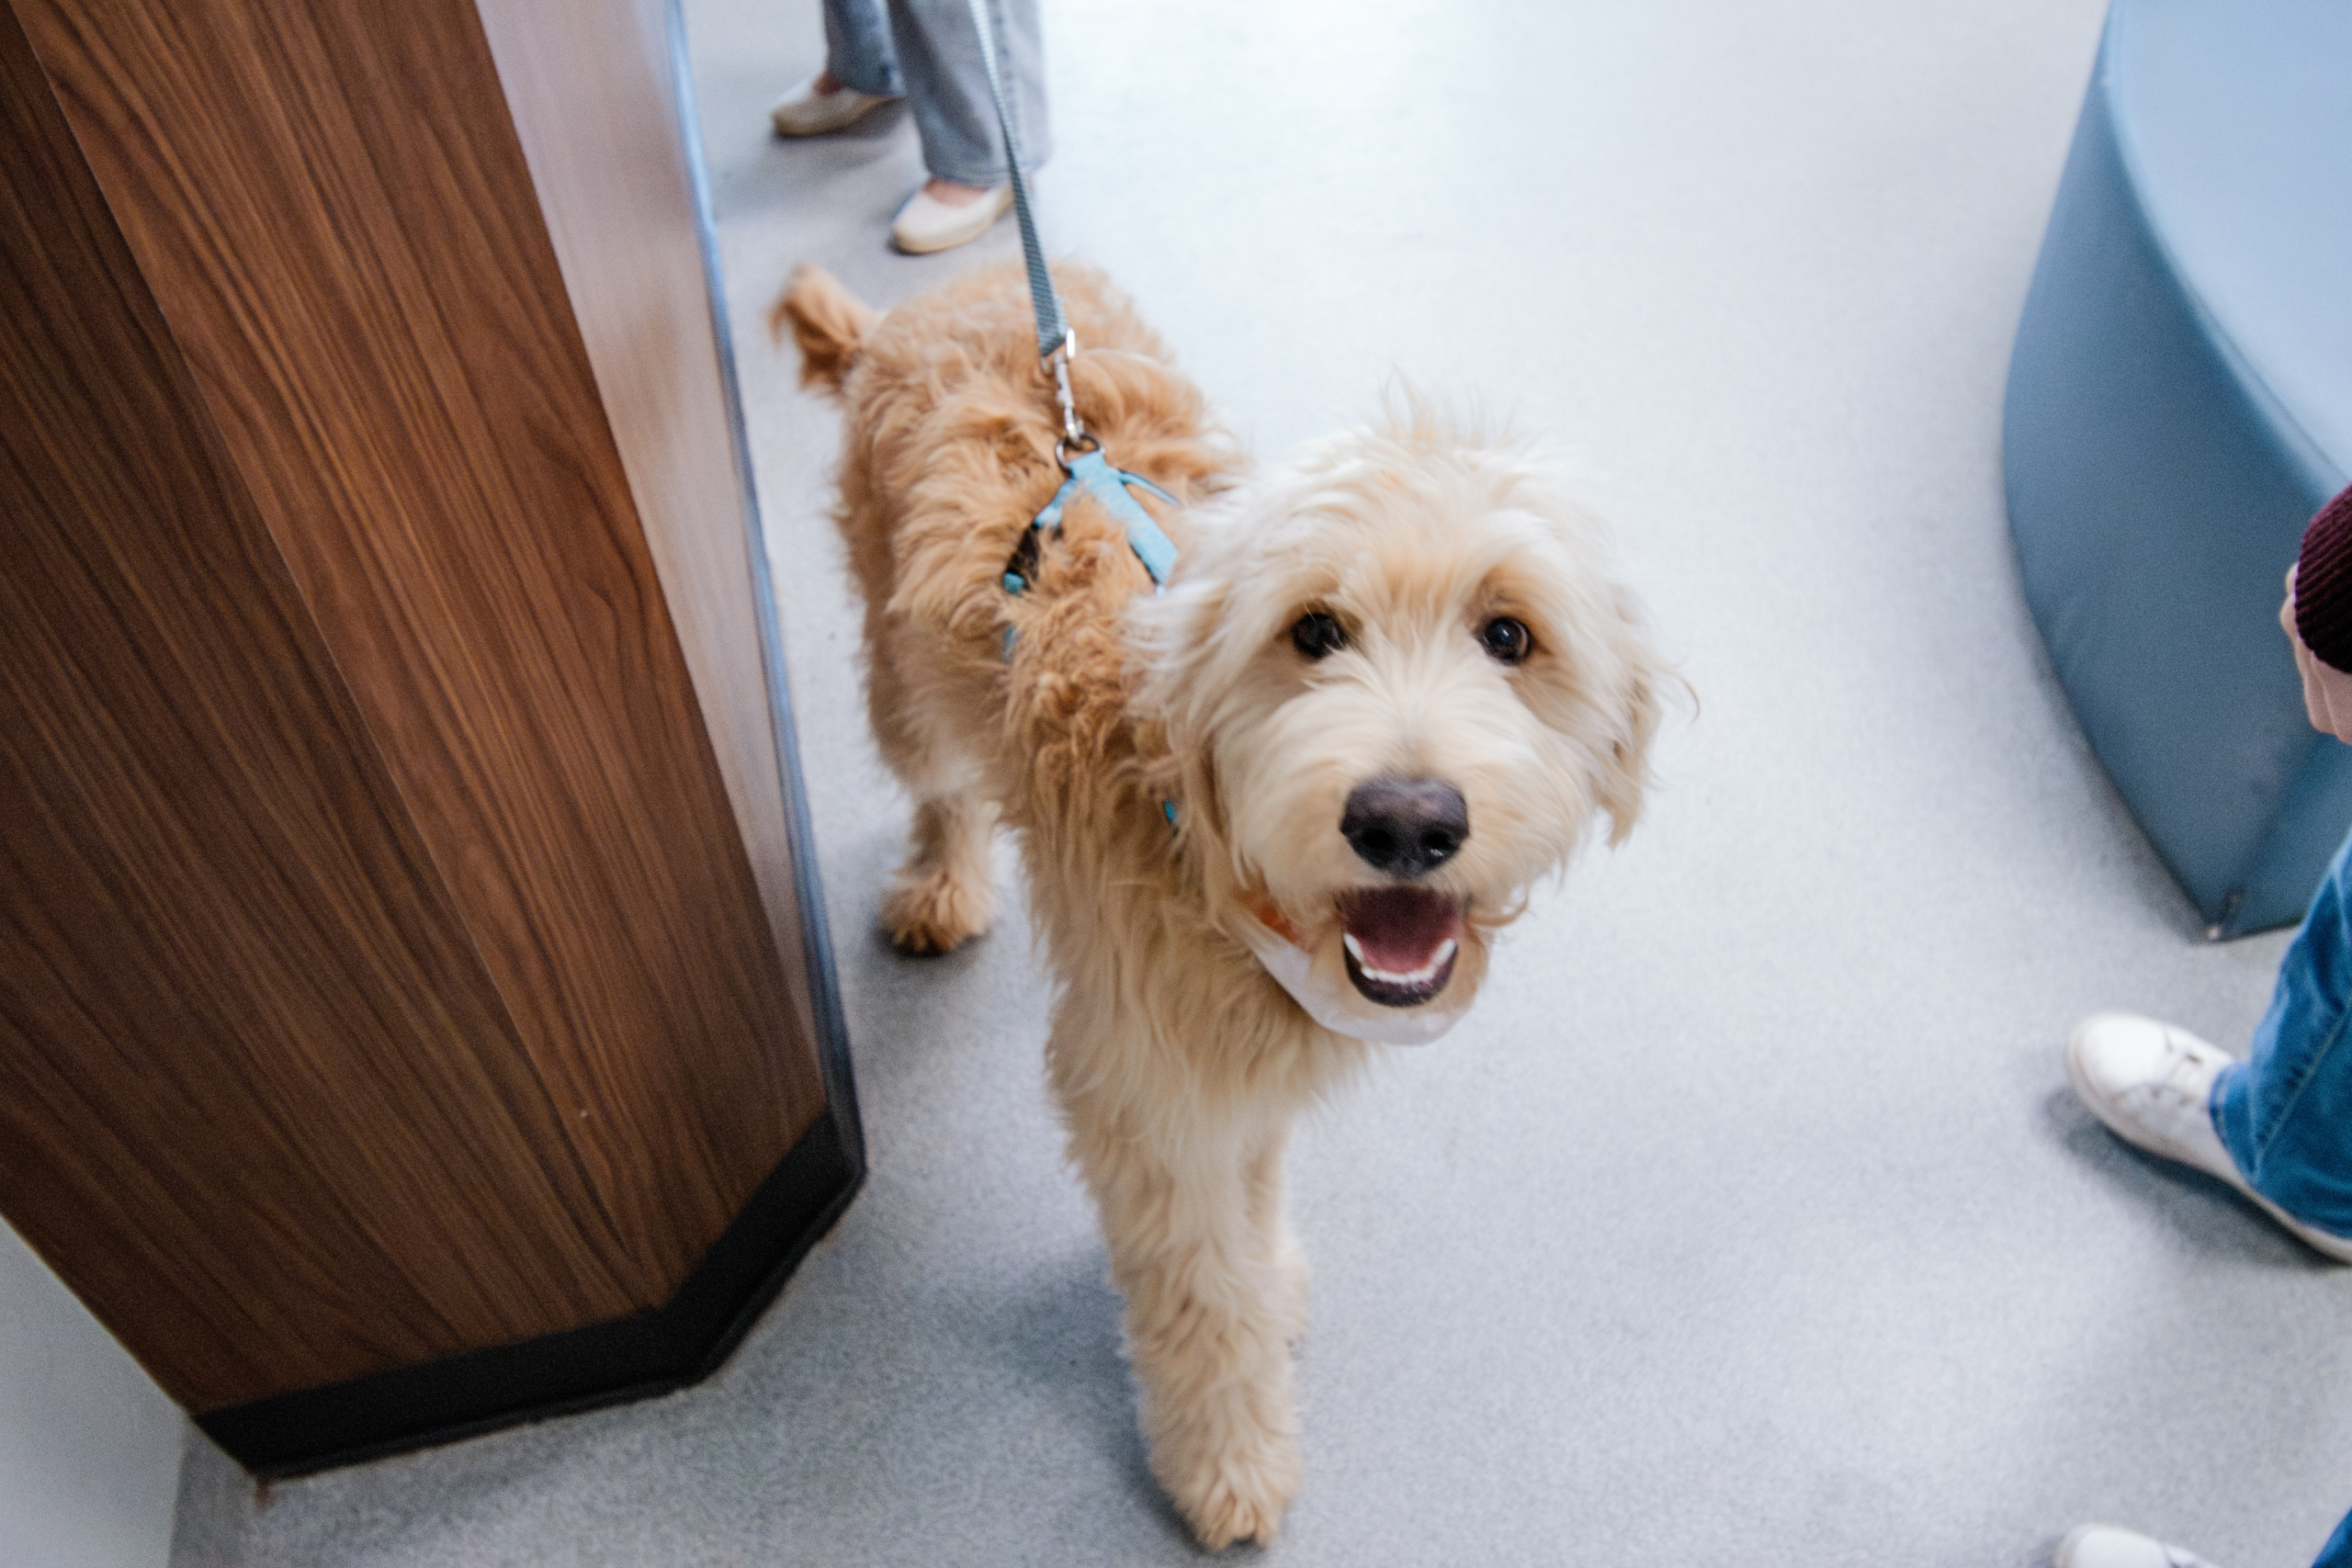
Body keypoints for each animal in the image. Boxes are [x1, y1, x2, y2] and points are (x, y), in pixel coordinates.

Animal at [780, 261, 1665, 1541]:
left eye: (1509, 635)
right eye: (1313, 632)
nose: (1405, 822)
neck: (1209, 849)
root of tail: (939, 295)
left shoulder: (1237, 1056)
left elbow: (1254, 1184)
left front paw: (1272, 1271)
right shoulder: (1148, 1089)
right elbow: (1202, 1295)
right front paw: (1229, 1461)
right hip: (900, 670)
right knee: (937, 780)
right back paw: (942, 881)